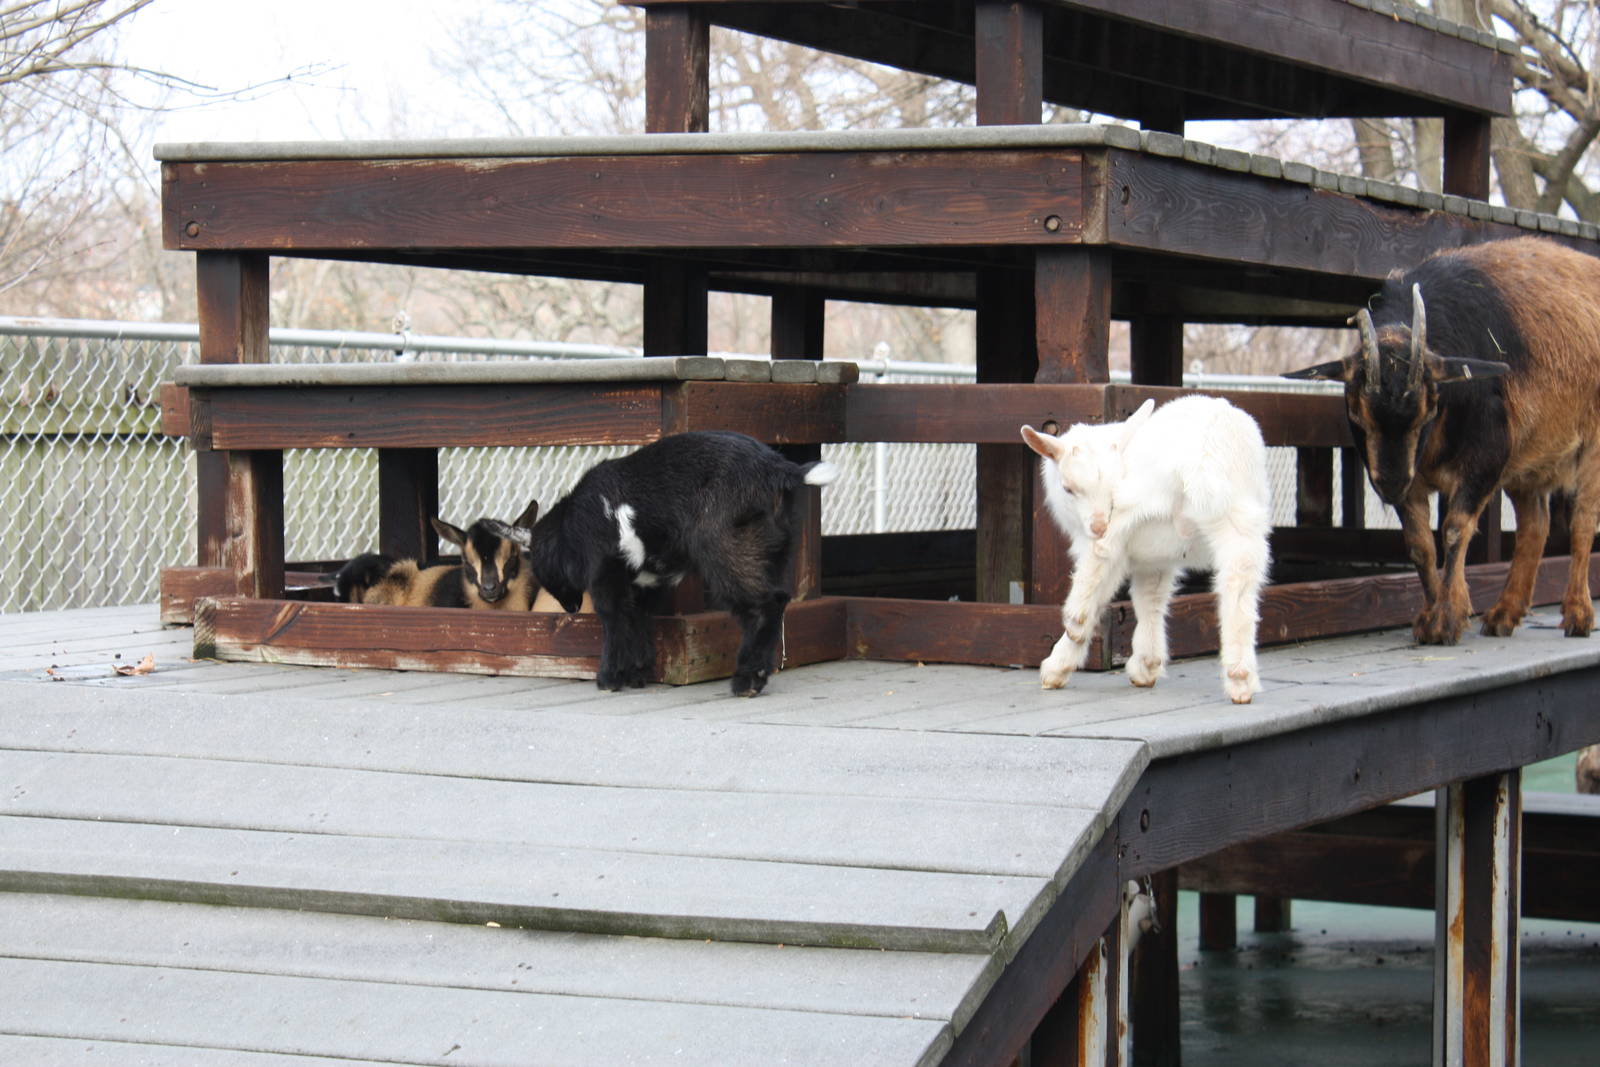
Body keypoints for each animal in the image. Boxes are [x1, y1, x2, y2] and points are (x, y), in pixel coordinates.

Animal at [526, 430, 837, 696]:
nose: (570, 608)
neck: (571, 523)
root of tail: (777, 468)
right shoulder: (647, 583)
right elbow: (637, 620)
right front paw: (637, 673)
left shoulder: (607, 574)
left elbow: (613, 619)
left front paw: (609, 678)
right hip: (773, 550)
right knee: (779, 601)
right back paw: (758, 675)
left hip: (724, 548)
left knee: (764, 605)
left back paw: (746, 680)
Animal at [1021, 395, 1272, 704]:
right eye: (1069, 489)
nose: (1097, 525)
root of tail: (1204, 454)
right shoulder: (1157, 558)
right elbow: (1150, 598)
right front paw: (1147, 665)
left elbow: (1109, 588)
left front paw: (1061, 665)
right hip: (1241, 519)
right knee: (1239, 584)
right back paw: (1240, 679)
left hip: (1136, 501)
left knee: (1101, 557)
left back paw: (1067, 641)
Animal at [1286, 237, 1600, 645]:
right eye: (1356, 413)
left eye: (1430, 409)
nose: (1390, 485)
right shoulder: (1413, 477)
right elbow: (1420, 544)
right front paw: (1434, 614)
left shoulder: (1486, 459)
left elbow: (1454, 529)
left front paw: (1446, 619)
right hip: (1528, 461)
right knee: (1535, 525)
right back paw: (1504, 614)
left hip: (1591, 447)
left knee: (1582, 521)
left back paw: (1578, 614)